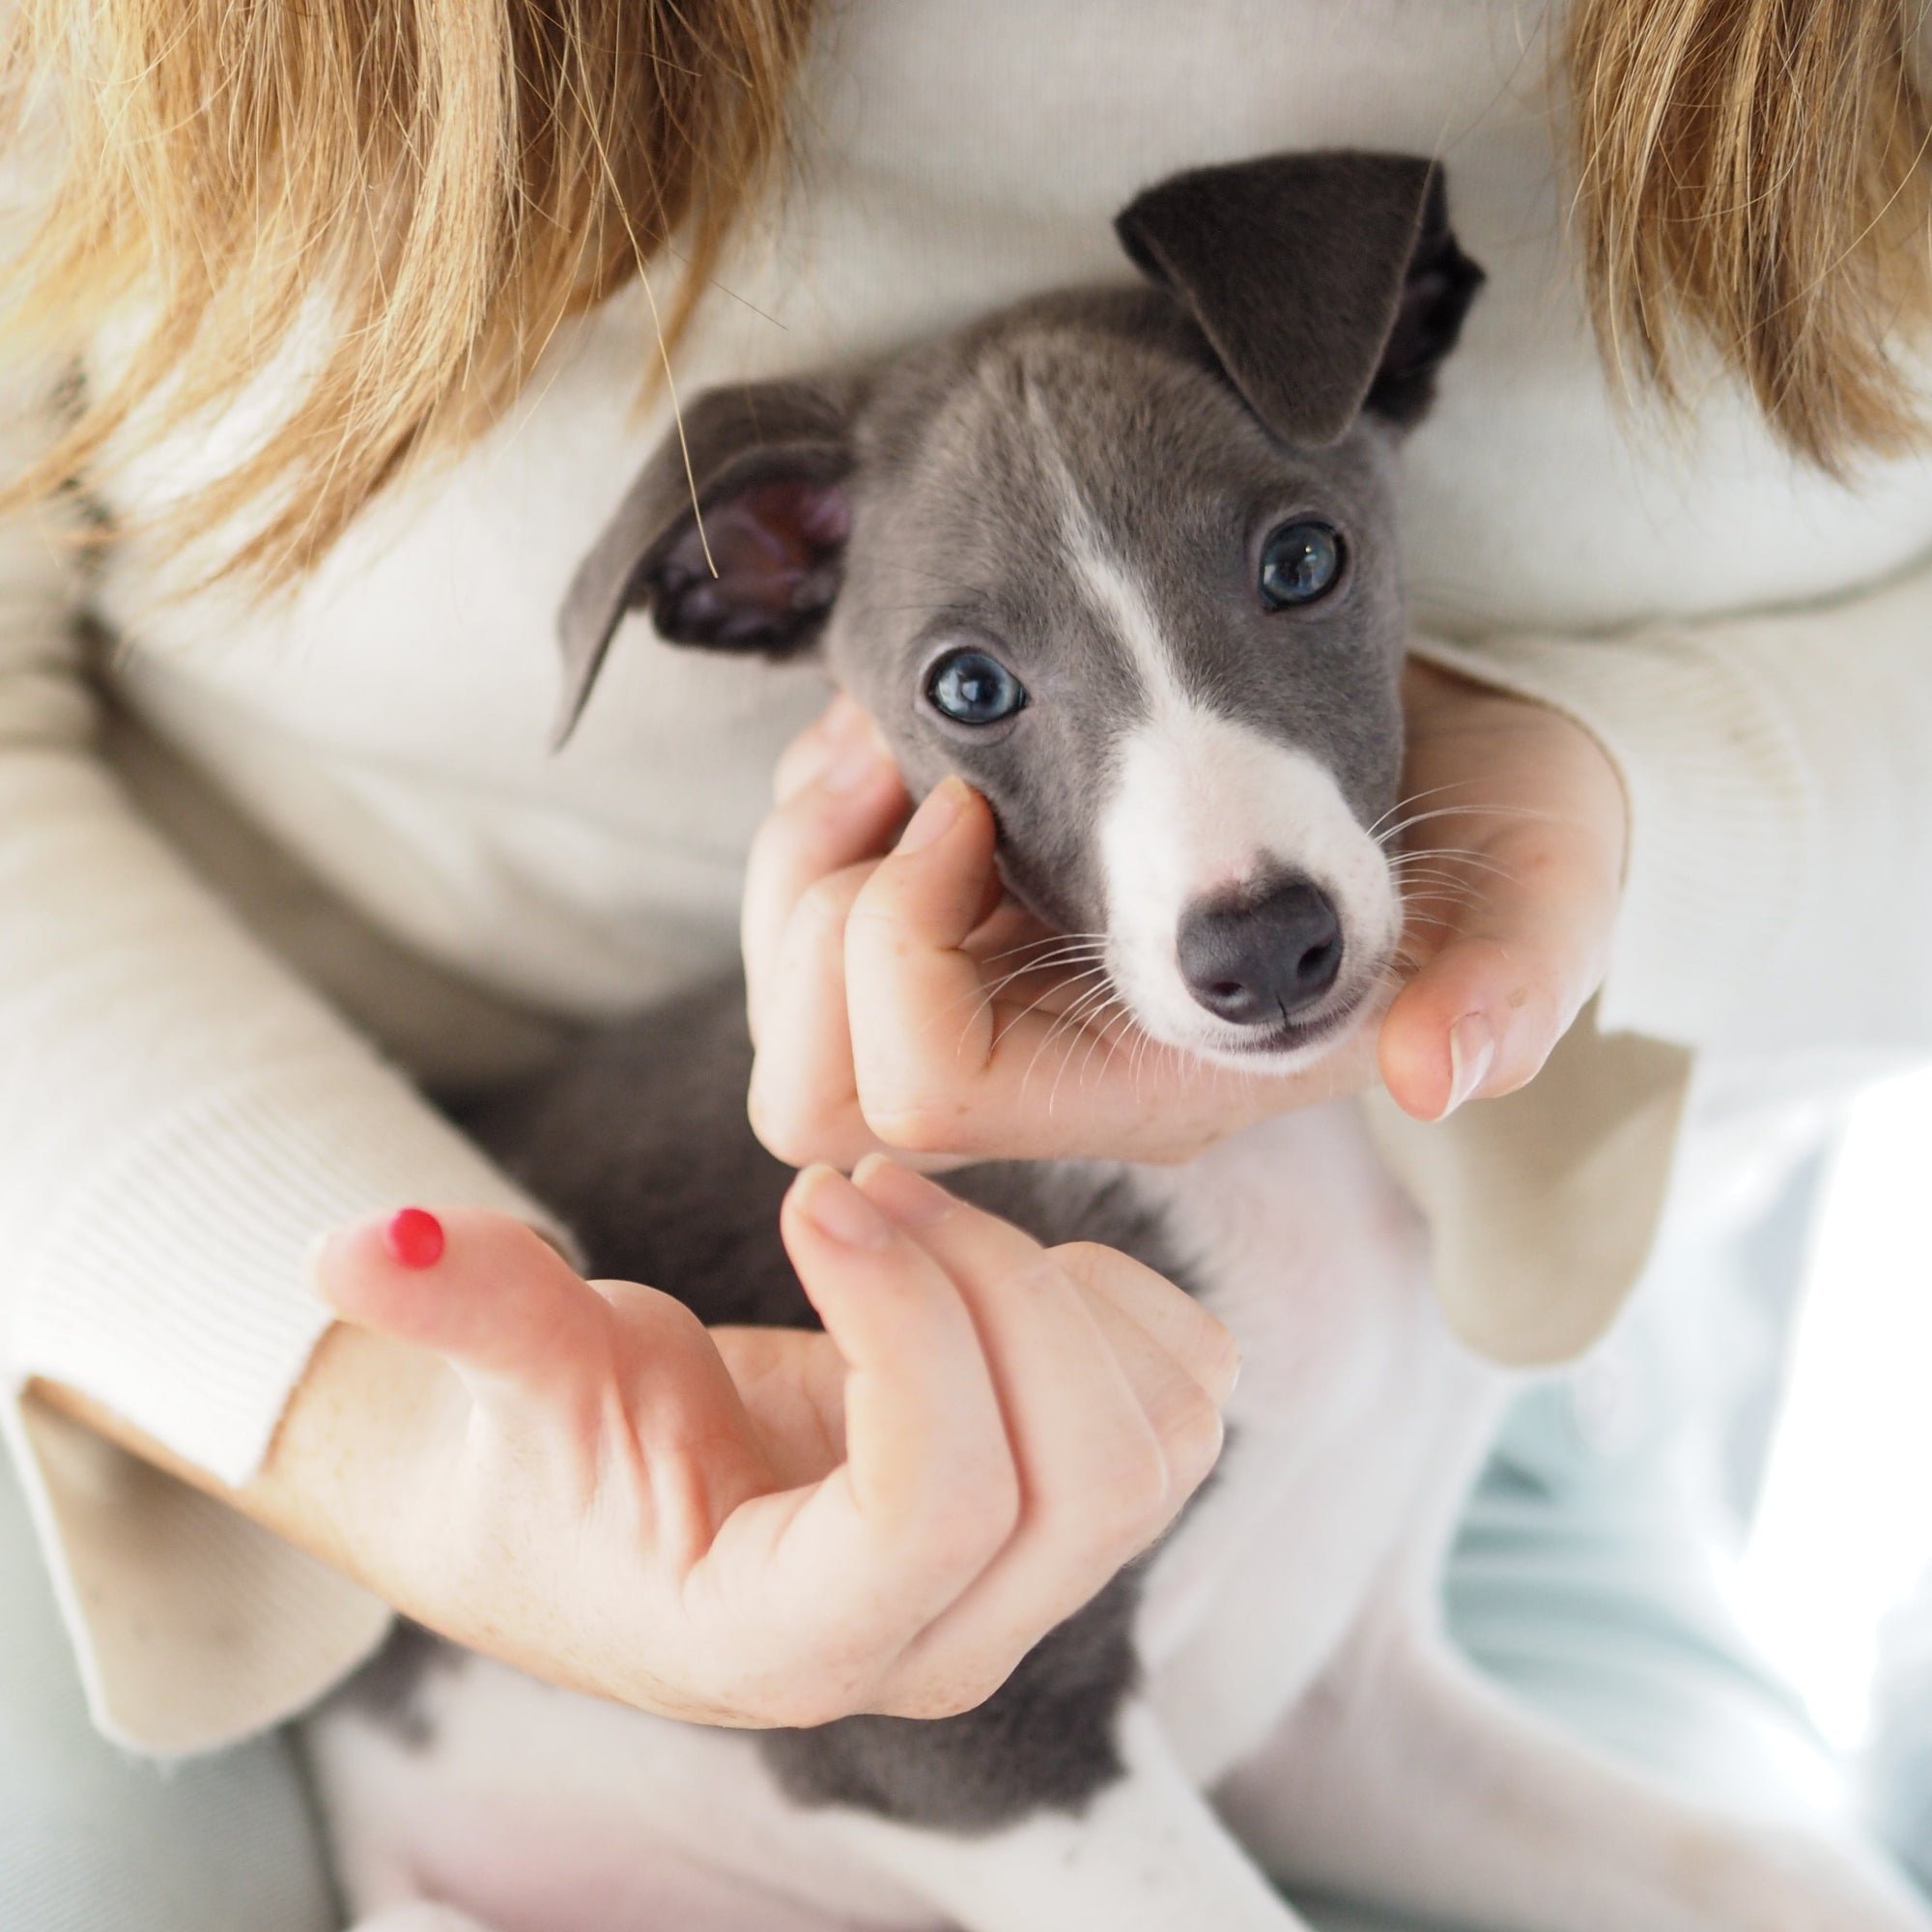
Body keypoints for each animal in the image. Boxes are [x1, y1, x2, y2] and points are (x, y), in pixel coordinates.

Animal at [301, 158, 1932, 1932]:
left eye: (1303, 560)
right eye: (968, 688)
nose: (1262, 949)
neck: (1254, 1152)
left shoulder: (1344, 1716)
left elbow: (1783, 1867)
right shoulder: (965, 1740)